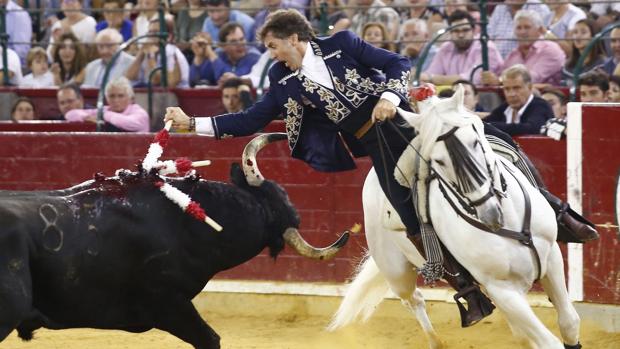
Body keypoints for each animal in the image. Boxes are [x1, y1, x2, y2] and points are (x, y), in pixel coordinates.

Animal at [330, 85, 580, 348]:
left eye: (475, 142)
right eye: (438, 160)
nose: (490, 213)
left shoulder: (552, 259)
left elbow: (569, 321)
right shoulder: (502, 289)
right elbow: (549, 342)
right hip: (394, 269)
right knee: (413, 299)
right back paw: (436, 341)